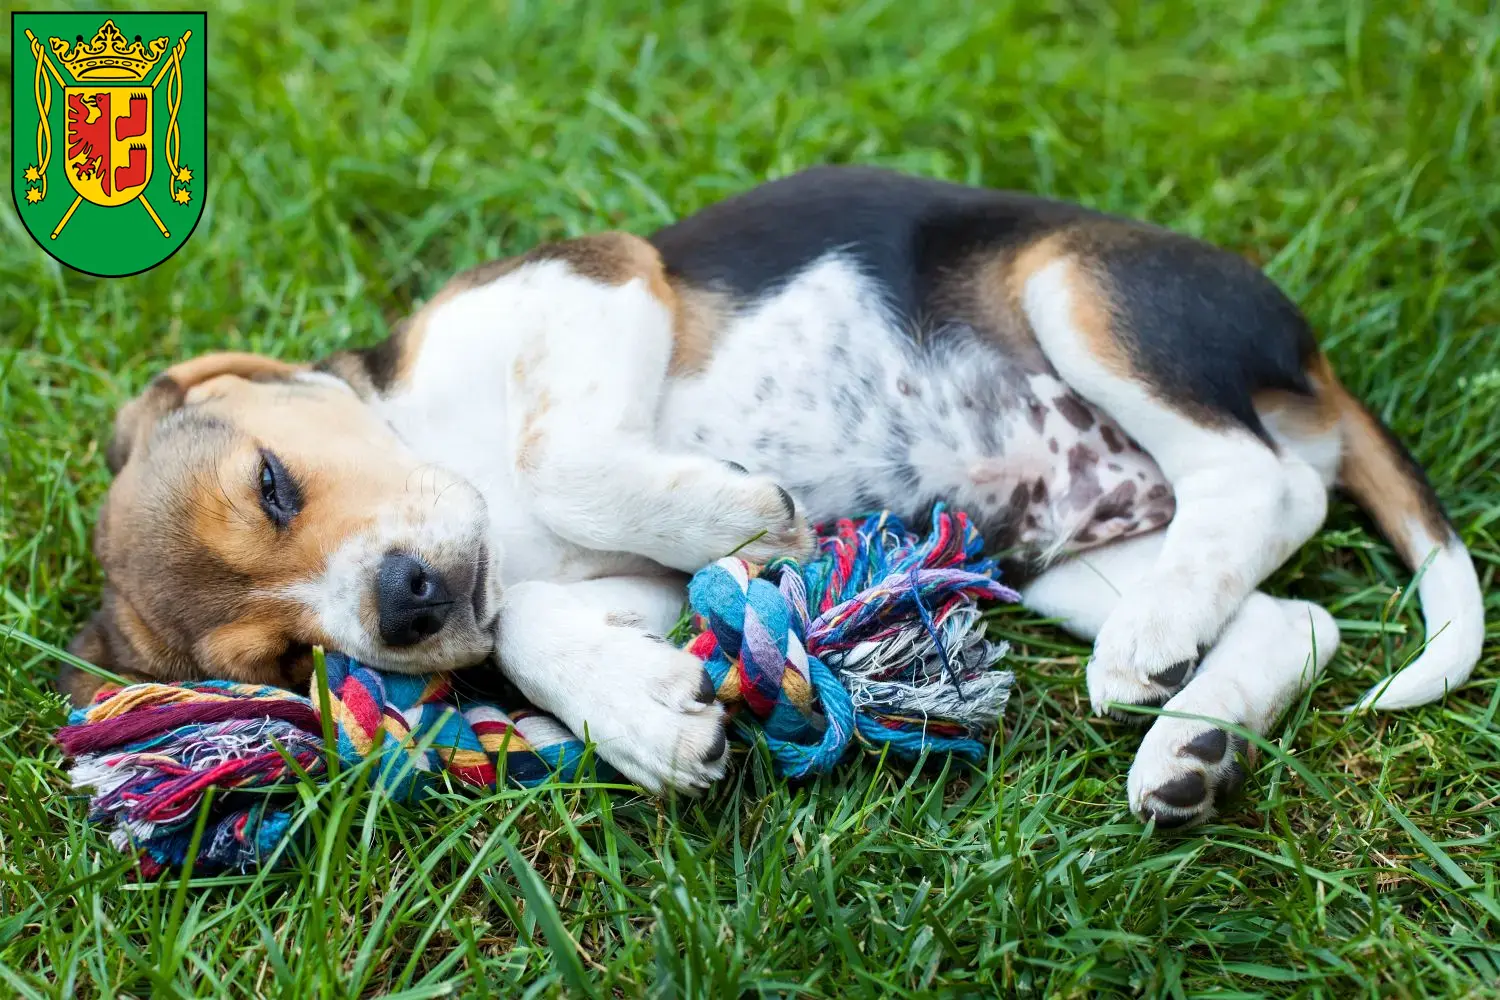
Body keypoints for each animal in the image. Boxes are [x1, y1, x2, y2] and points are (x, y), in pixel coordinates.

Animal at [64, 167, 1482, 827]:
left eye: (272, 483)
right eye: (282, 659)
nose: (405, 606)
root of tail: (1308, 358)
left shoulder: (596, 282)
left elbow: (556, 458)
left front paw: (750, 515)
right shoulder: (601, 588)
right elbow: (530, 619)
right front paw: (647, 718)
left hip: (1081, 294)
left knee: (1268, 484)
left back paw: (1163, 650)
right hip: (1064, 555)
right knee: (1292, 611)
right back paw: (1189, 739)